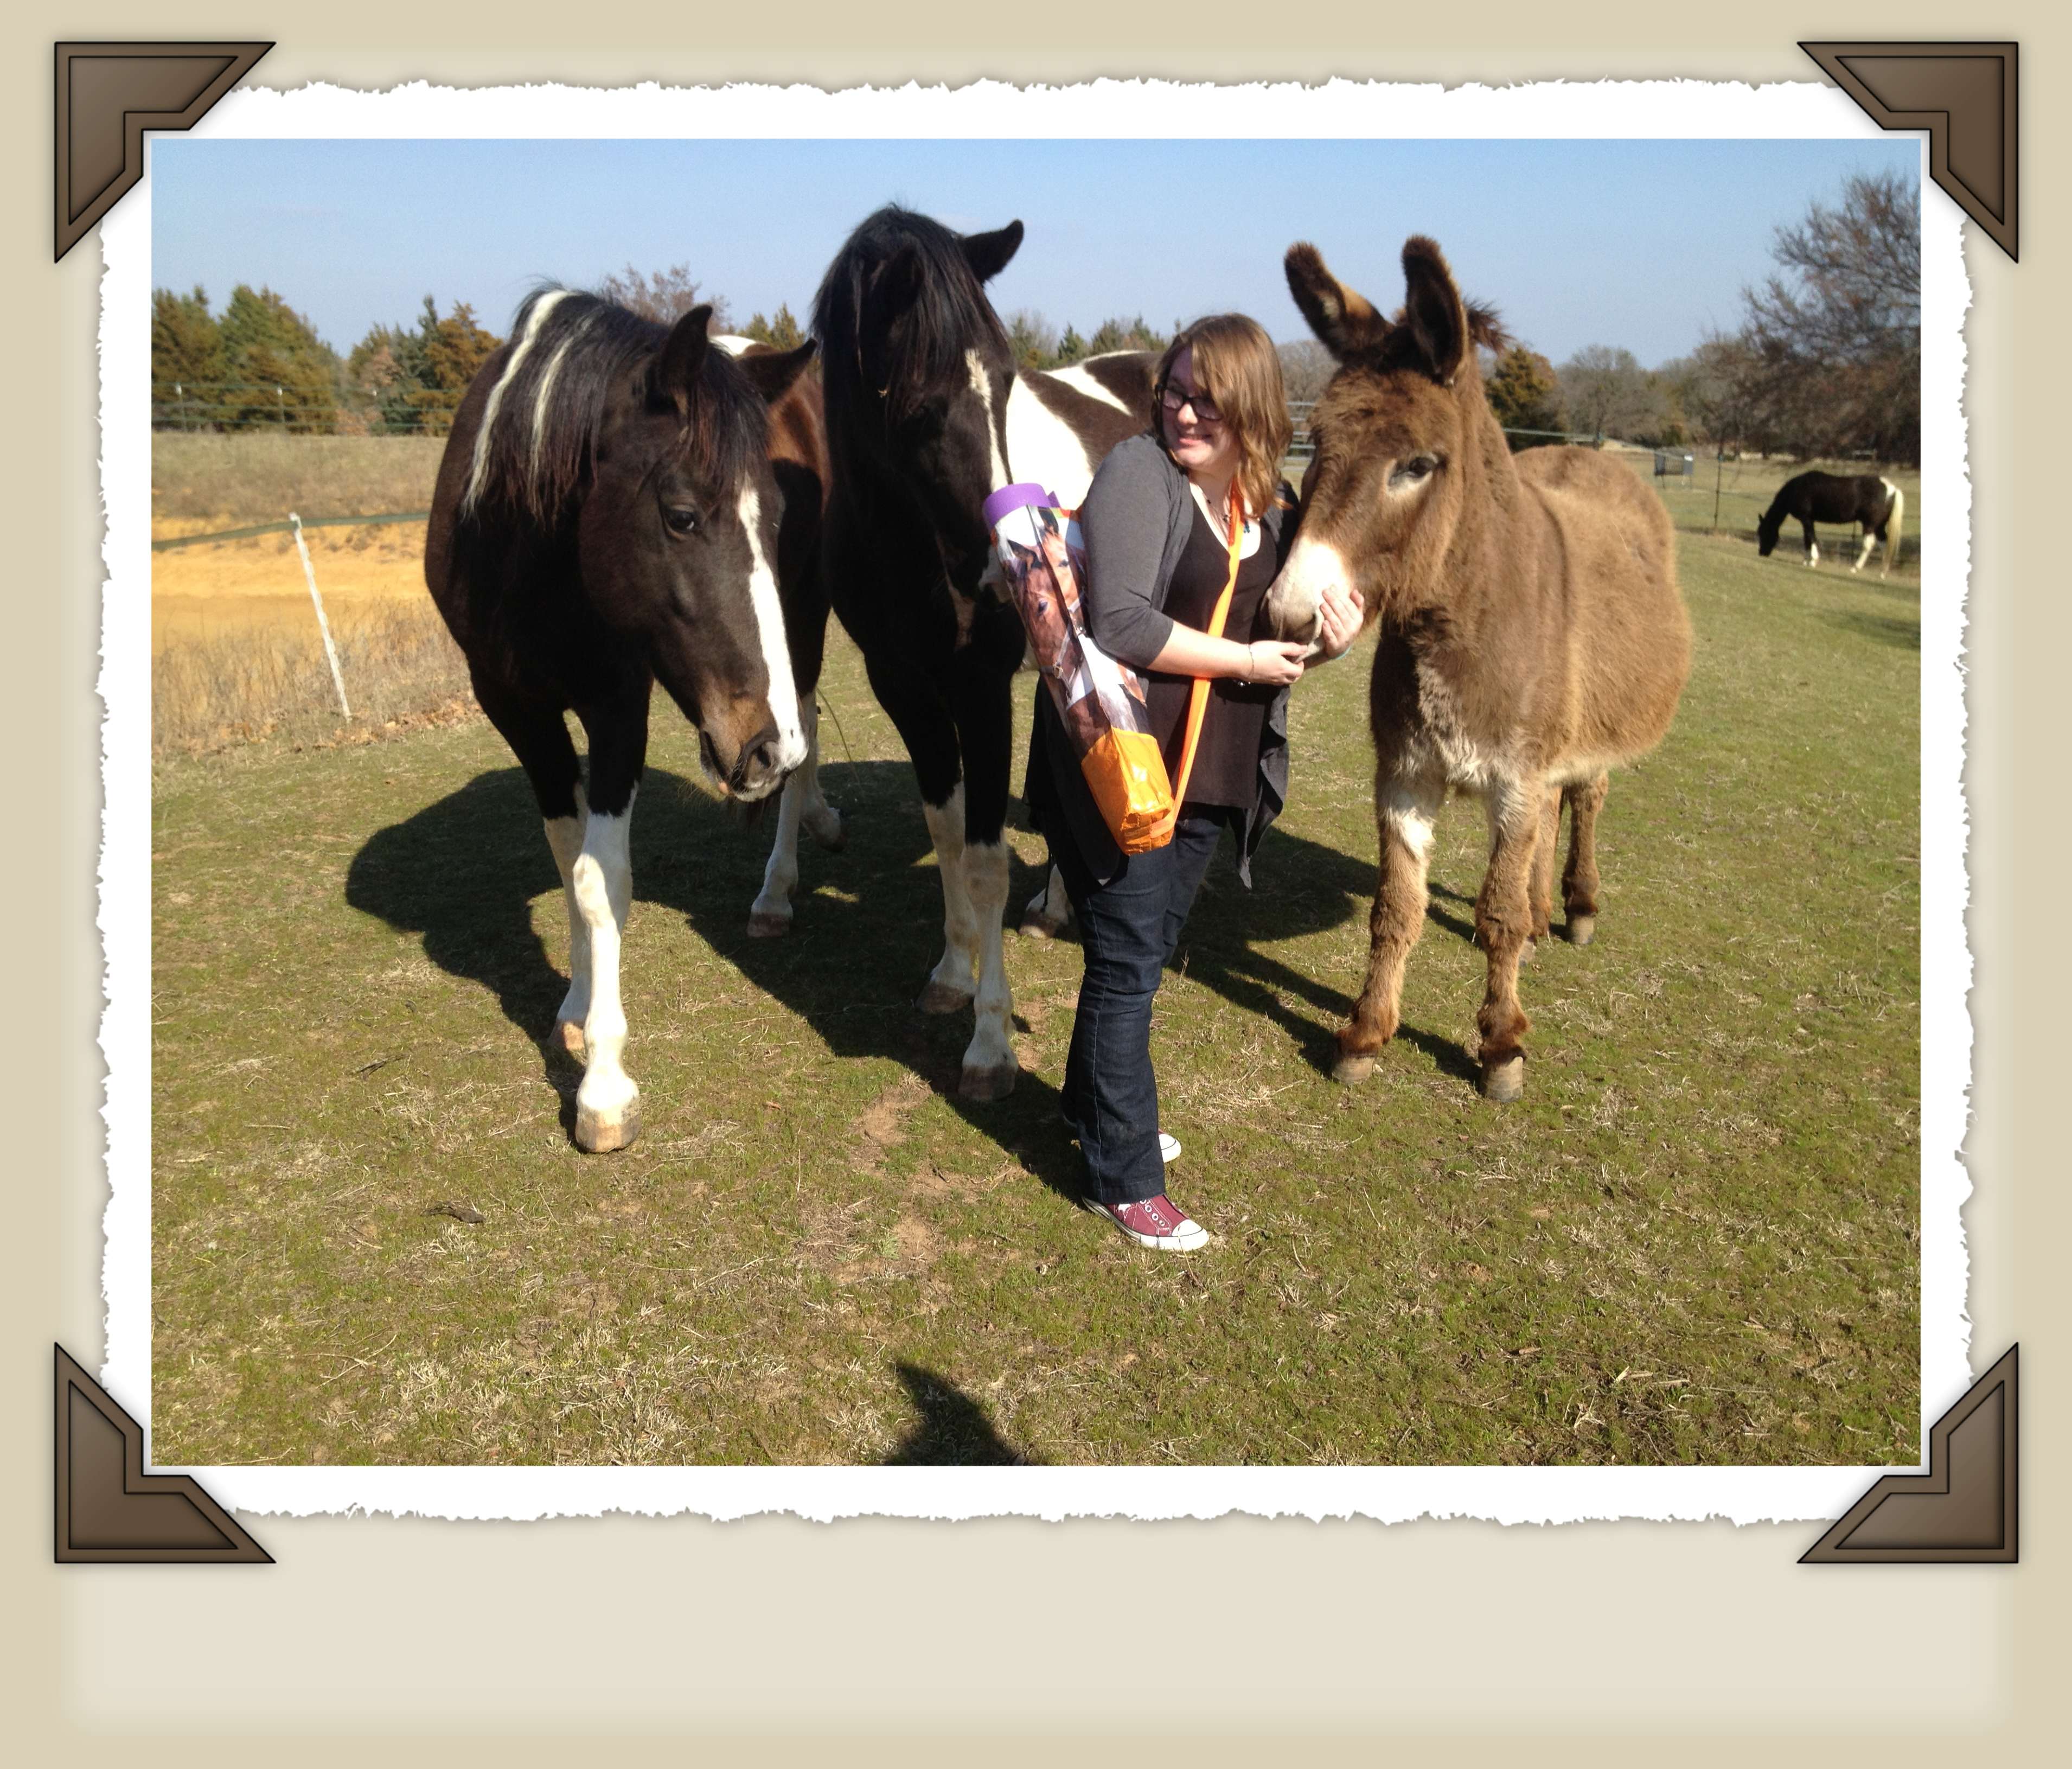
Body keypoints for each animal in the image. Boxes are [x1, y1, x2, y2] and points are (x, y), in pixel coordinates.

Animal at [425, 288, 820, 1152]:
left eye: (776, 516)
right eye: (682, 516)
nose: (761, 749)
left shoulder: (616, 706)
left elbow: (601, 880)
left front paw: (603, 1086)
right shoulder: (514, 707)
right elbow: (566, 858)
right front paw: (576, 1004)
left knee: (808, 739)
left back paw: (783, 872)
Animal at [808, 204, 1155, 1100]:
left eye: (1003, 388)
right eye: (922, 408)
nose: (1009, 564)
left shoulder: (980, 690)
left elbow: (988, 858)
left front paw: (991, 1043)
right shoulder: (903, 688)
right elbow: (947, 831)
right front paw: (950, 972)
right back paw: (1057, 905)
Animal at [1265, 235, 1692, 1103]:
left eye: (1418, 465)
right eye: (1316, 442)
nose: (1289, 614)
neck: (1454, 623)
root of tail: (1588, 457)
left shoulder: (1514, 780)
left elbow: (1492, 912)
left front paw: (1500, 1048)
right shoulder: (1404, 775)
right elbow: (1396, 908)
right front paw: (1365, 1033)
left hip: (1585, 735)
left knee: (1584, 799)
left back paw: (1576, 907)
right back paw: (1539, 920)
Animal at [1755, 470, 1905, 575]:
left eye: (1763, 533)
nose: (1762, 553)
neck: (1796, 489)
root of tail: (1892, 489)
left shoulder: (1806, 519)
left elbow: (1811, 538)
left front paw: (1813, 561)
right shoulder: (1808, 521)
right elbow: (1807, 540)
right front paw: (1806, 561)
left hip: (1869, 525)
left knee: (1869, 545)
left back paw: (1855, 568)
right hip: (1879, 527)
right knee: (1884, 545)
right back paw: (1883, 572)